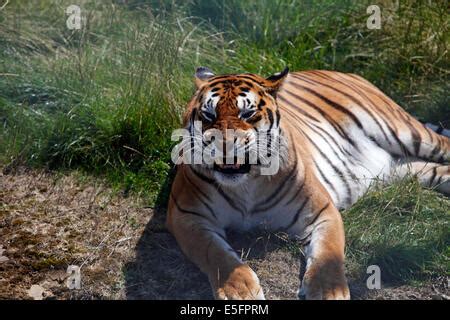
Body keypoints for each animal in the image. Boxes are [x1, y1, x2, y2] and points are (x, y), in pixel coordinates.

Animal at [166, 67, 450, 300]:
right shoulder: (188, 216)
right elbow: (217, 256)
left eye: (247, 113)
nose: (224, 145)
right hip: (404, 170)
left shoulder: (322, 211)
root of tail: (346, 72)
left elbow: (329, 255)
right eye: (208, 114)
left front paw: (329, 292)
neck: (246, 184)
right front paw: (240, 291)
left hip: (407, 132)